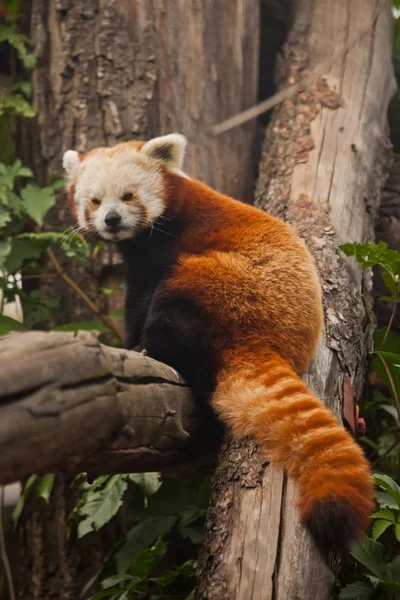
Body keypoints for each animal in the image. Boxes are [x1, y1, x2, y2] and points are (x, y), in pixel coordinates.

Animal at [64, 135, 374, 552]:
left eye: (128, 196)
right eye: (95, 201)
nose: (112, 220)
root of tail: (269, 339)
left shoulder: (165, 247)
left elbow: (142, 300)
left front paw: (132, 347)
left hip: (221, 283)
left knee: (177, 315)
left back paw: (159, 354)